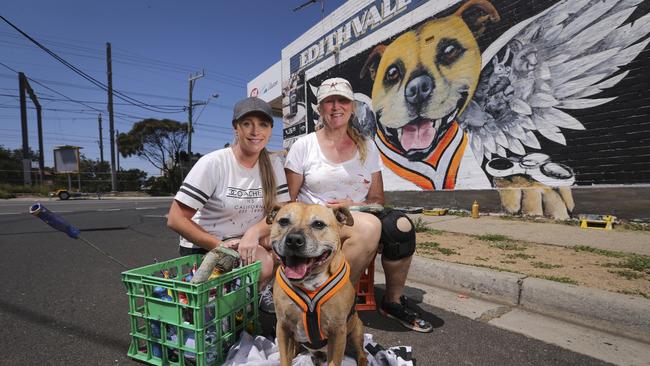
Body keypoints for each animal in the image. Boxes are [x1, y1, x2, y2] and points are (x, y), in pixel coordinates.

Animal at [264, 203, 364, 366]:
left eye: (318, 224)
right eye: (283, 221)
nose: (294, 240)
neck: (309, 282)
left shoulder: (338, 332)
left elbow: (334, 362)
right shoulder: (283, 327)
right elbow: (285, 359)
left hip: (356, 330)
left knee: (362, 353)